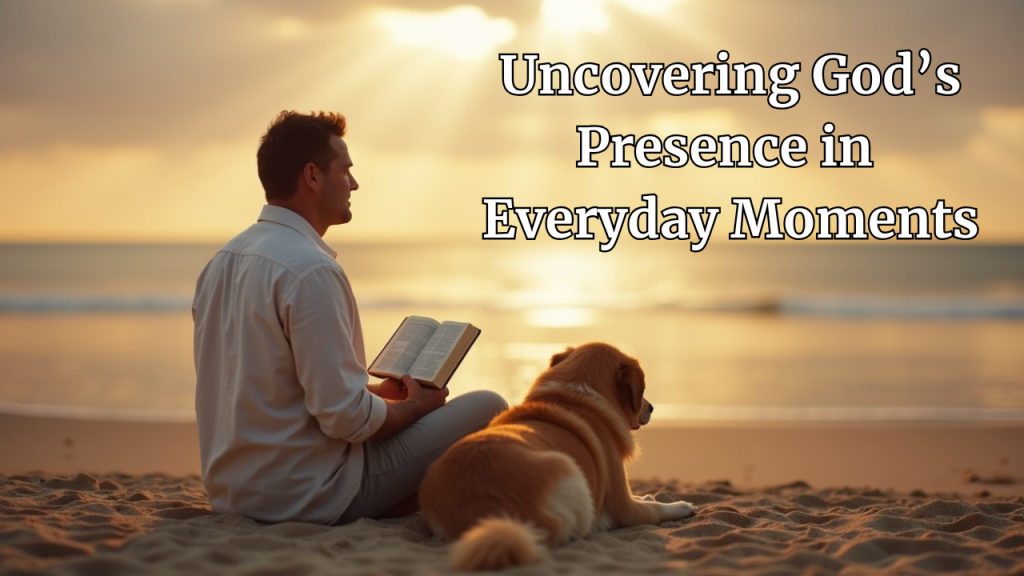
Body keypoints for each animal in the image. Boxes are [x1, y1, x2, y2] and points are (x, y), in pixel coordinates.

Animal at [417, 340, 696, 569]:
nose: (651, 408)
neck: (576, 395)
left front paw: (648, 495)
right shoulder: (623, 506)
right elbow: (653, 510)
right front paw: (680, 506)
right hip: (567, 469)